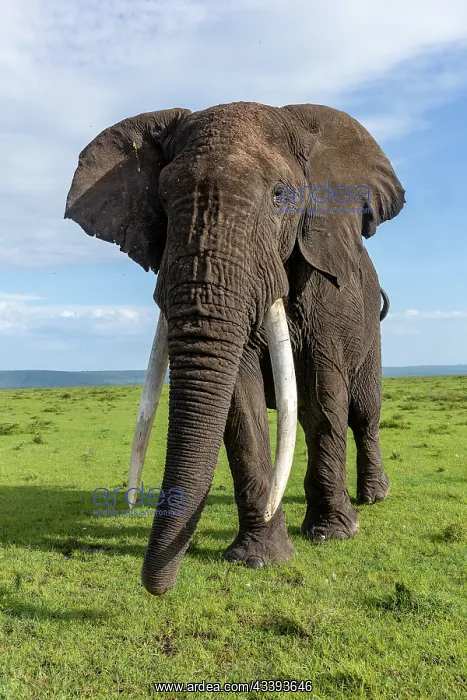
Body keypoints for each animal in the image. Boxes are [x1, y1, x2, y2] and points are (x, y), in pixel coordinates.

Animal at [65, 101, 405, 595]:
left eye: (282, 196)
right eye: (162, 199)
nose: (156, 588)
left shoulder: (326, 292)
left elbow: (324, 396)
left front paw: (332, 535)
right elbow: (240, 402)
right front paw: (260, 559)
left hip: (369, 329)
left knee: (362, 411)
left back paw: (373, 497)